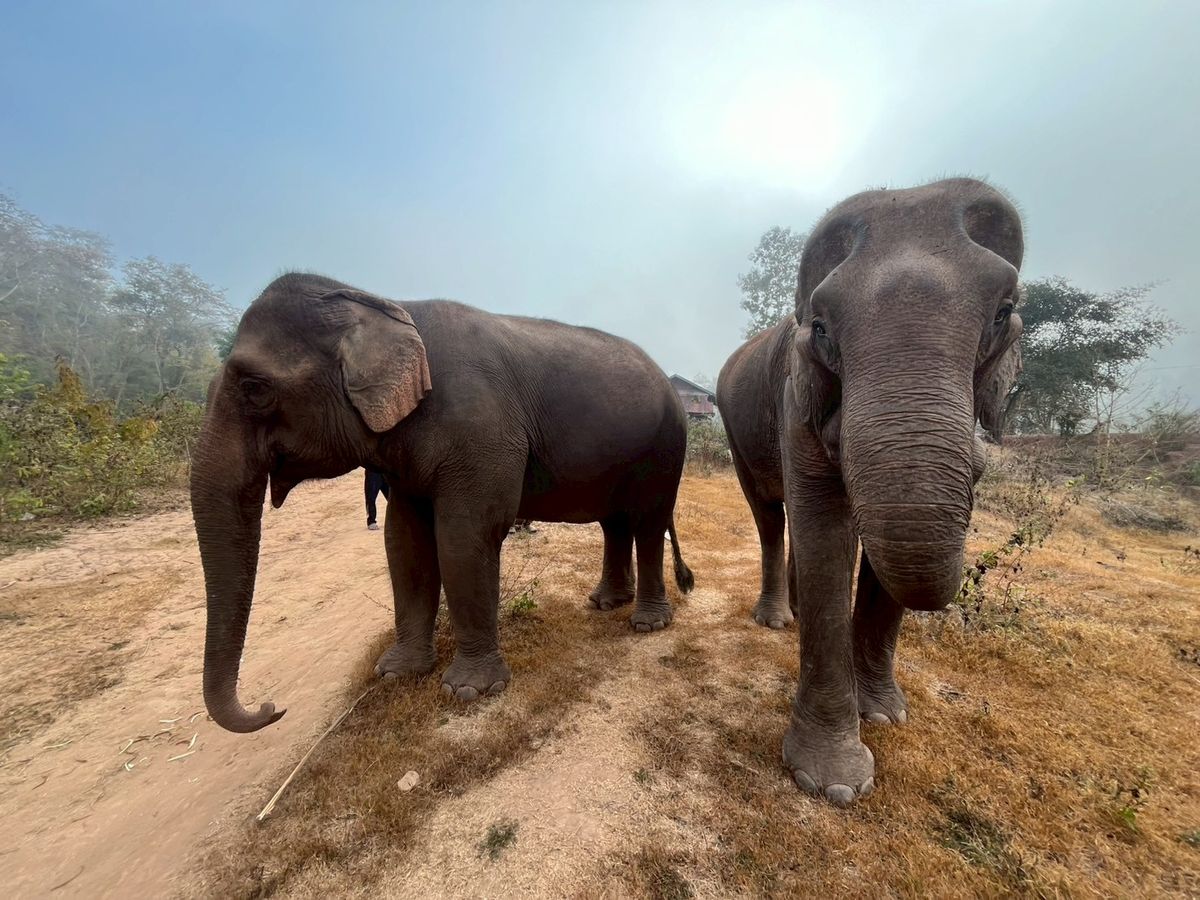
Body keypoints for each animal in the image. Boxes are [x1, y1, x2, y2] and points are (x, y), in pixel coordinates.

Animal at [191, 273, 694, 734]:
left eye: (255, 387)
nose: (271, 707)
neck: (382, 302)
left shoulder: (481, 432)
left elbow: (464, 537)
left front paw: (469, 691)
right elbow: (404, 543)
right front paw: (396, 674)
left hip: (666, 446)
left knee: (648, 520)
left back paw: (647, 624)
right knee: (615, 521)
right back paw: (606, 603)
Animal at [716, 178, 1023, 806]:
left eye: (1003, 313)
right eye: (821, 328)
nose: (983, 456)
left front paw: (884, 715)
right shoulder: (794, 398)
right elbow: (825, 528)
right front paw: (832, 784)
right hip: (739, 433)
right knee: (770, 515)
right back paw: (777, 620)